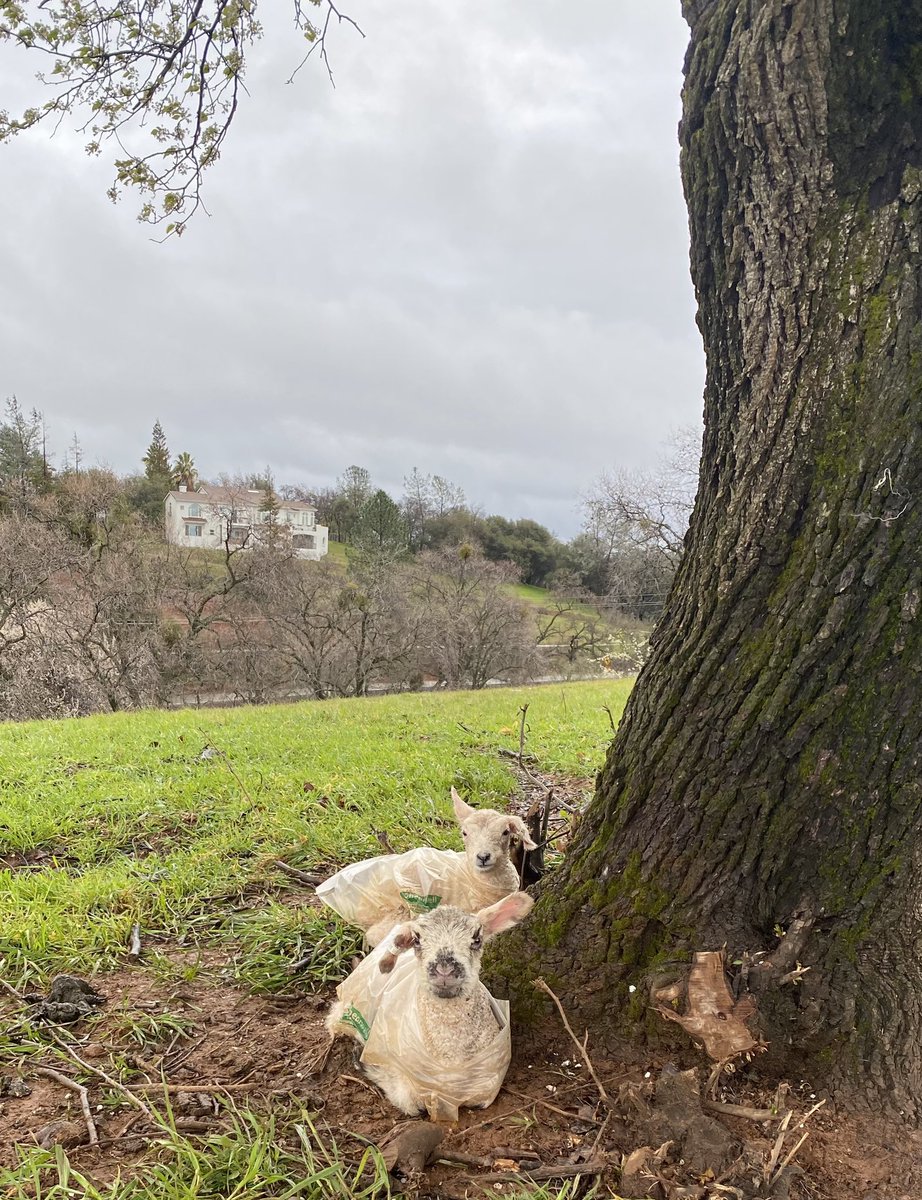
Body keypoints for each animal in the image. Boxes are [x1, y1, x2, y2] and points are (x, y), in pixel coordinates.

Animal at [328, 888, 533, 1118]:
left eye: (477, 939)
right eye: (416, 940)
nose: (445, 969)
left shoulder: (487, 1088)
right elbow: (412, 1105)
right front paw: (364, 1063)